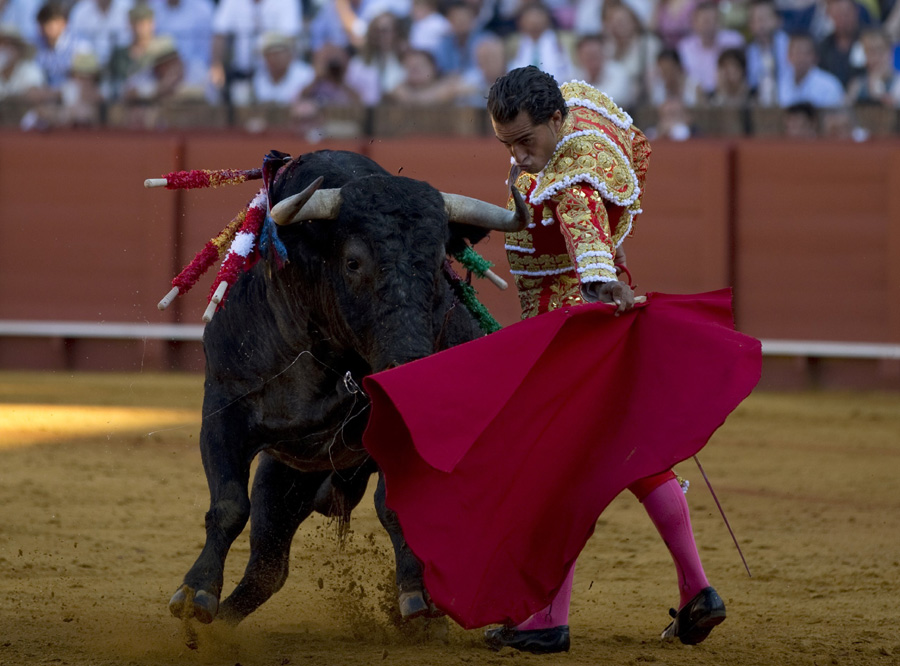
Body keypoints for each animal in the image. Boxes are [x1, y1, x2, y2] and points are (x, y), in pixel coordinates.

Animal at [169, 149, 528, 624]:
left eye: (437, 265)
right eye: (353, 262)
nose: (408, 365)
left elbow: (397, 505)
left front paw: (417, 594)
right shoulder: (223, 407)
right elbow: (229, 504)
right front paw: (196, 592)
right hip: (284, 477)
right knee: (267, 567)